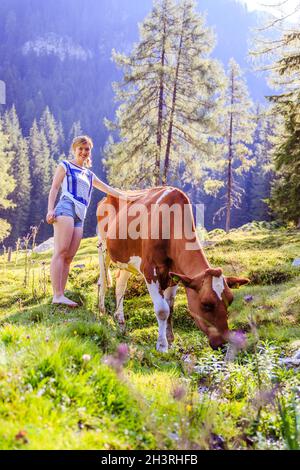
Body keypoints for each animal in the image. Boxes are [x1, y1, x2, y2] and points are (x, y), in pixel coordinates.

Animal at [96, 187, 248, 352]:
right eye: (206, 304)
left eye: (230, 301)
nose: (224, 344)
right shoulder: (149, 270)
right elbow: (162, 310)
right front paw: (162, 346)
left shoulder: (174, 275)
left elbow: (170, 308)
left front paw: (170, 341)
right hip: (103, 247)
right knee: (103, 281)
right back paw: (102, 312)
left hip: (126, 258)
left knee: (120, 284)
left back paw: (121, 322)